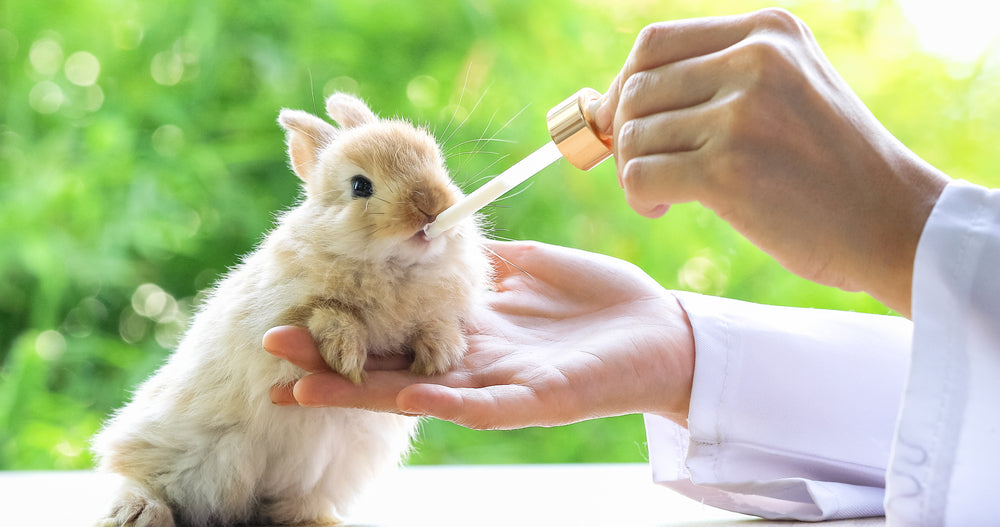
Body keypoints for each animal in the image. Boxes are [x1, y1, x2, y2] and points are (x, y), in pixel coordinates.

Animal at [95, 93, 494, 524]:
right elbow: (328, 312)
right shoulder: (284, 312)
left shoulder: (439, 310)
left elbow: (436, 324)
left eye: (438, 164)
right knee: (139, 478)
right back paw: (139, 512)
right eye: (360, 186)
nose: (432, 206)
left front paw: (439, 354)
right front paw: (345, 354)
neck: (395, 267)